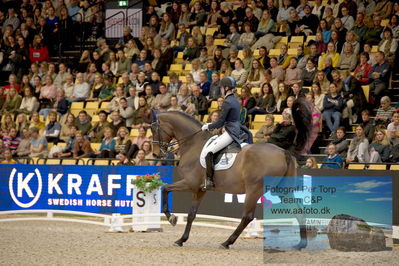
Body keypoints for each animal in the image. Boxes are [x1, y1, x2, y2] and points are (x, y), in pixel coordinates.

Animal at [152, 98, 314, 249]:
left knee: (247, 217)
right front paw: (181, 239)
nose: (155, 154)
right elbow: (191, 214)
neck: (193, 144)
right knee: (298, 210)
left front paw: (171, 218)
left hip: (254, 189)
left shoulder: (190, 183)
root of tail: (283, 152)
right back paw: (301, 244)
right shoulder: (200, 189)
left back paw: (227, 242)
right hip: (282, 190)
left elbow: (165, 189)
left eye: (154, 129)